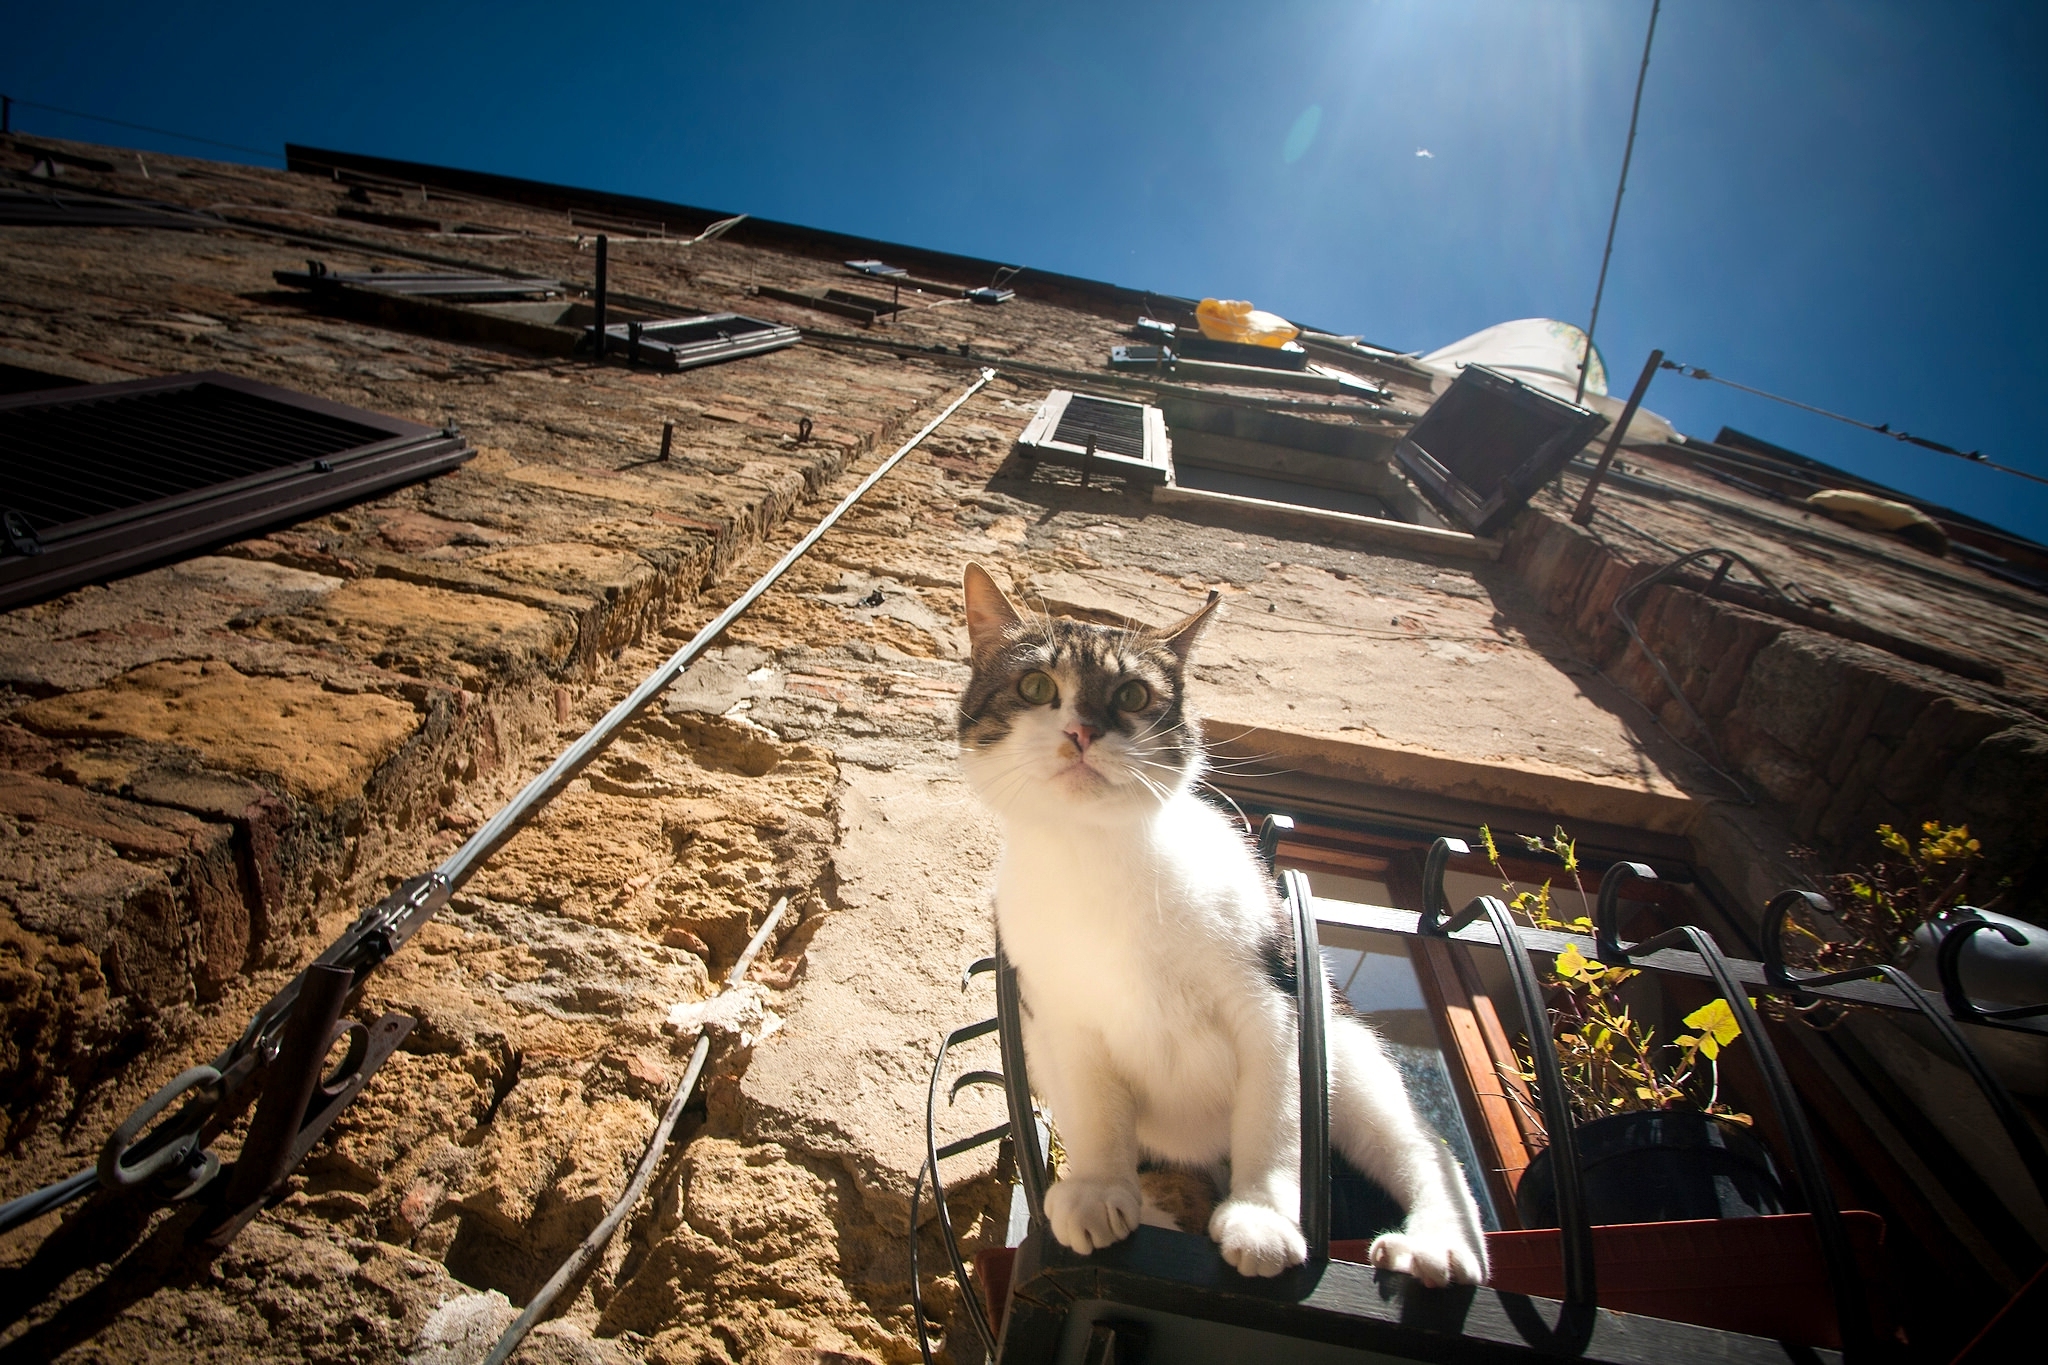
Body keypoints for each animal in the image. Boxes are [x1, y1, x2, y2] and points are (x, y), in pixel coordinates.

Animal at [958, 560, 1490, 1285]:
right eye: (1036, 686)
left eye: (1132, 694)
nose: (1082, 732)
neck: (1098, 859)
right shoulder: (1063, 1019)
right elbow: (1097, 1115)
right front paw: (1097, 1189)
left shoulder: (1272, 1004)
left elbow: (1273, 1121)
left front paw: (1260, 1218)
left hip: (1352, 1055)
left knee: (1423, 1149)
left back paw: (1436, 1244)